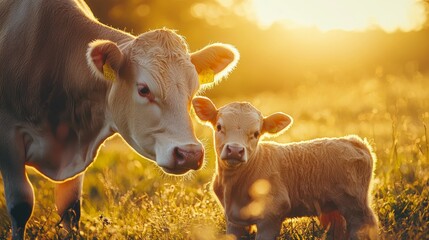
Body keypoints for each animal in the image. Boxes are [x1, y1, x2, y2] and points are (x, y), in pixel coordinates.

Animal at [0, 0, 239, 238]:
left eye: (194, 90)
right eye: (143, 89)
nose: (189, 154)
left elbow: (70, 209)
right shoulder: (8, 135)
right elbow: (20, 205)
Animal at [192, 97, 376, 240]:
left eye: (256, 133)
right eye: (219, 127)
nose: (235, 150)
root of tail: (353, 141)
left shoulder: (271, 215)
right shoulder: (233, 220)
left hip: (355, 205)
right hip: (333, 207)